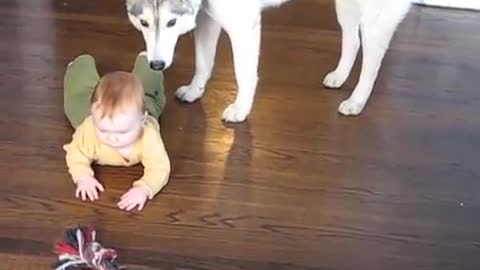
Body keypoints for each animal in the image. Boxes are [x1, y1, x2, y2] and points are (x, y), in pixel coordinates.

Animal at [125, 0, 410, 122]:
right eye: (143, 23)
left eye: (172, 22)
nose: (156, 66)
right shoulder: (208, 17)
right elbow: (203, 63)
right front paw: (195, 91)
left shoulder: (243, 27)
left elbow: (244, 74)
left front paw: (241, 109)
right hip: (347, 7)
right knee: (352, 41)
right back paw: (339, 76)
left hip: (375, 18)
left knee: (372, 61)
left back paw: (357, 101)